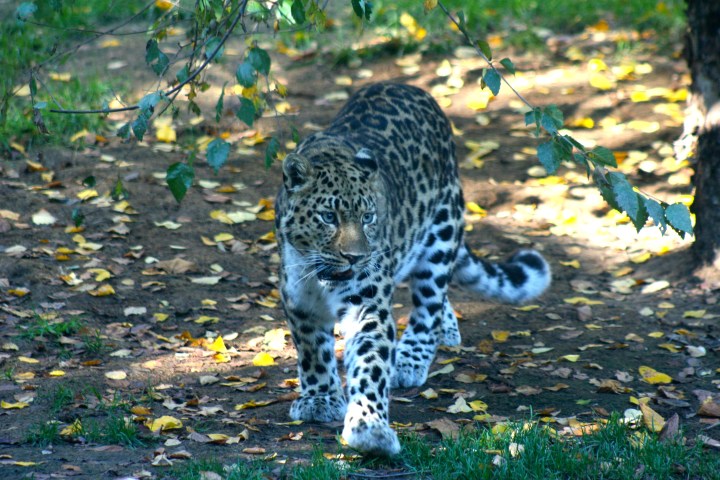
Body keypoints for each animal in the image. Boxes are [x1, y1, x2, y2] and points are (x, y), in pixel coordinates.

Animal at [275, 82, 551, 456]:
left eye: (368, 217)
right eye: (328, 217)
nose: (355, 257)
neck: (321, 278)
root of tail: (409, 87)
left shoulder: (367, 304)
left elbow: (370, 365)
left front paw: (369, 428)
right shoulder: (298, 300)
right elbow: (312, 353)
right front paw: (319, 400)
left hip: (442, 233)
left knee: (429, 305)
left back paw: (410, 359)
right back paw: (447, 330)